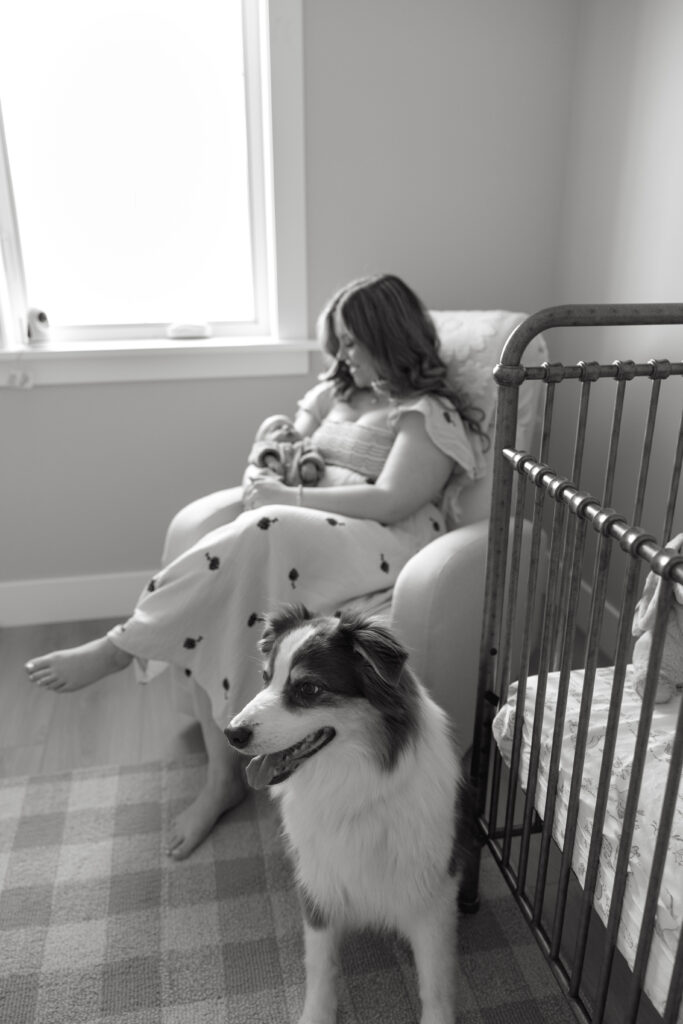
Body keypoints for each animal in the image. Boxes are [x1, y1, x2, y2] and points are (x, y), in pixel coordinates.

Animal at [225, 605, 461, 1024]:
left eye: (308, 689)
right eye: (266, 679)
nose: (231, 733)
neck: (352, 786)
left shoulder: (432, 893)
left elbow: (433, 978)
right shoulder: (318, 885)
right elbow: (320, 967)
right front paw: (316, 1016)